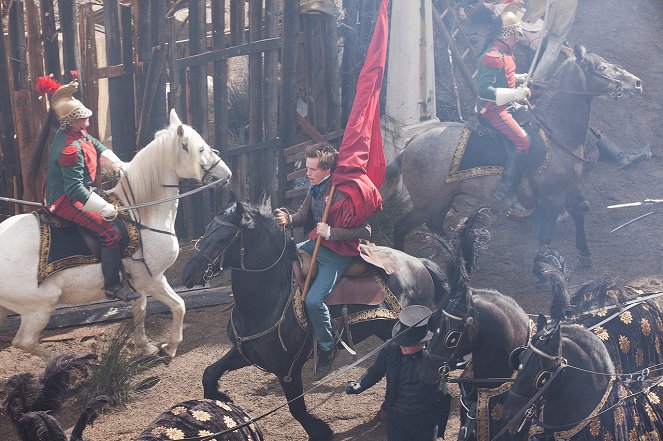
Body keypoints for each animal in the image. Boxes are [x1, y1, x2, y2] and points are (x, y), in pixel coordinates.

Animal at [0, 109, 233, 358]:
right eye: (200, 149)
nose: (226, 174)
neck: (142, 214)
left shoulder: (137, 282)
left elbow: (140, 309)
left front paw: (146, 346)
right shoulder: (152, 278)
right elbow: (179, 305)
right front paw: (170, 347)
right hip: (40, 307)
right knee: (24, 341)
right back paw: (65, 360)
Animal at [182, 199, 452, 436]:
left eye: (224, 238)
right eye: (206, 230)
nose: (188, 274)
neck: (269, 301)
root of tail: (420, 263)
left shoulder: (287, 369)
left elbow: (297, 410)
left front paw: (322, 431)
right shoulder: (244, 351)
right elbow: (209, 373)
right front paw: (222, 399)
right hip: (387, 331)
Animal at [384, 45, 644, 264]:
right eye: (601, 68)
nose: (637, 83)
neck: (558, 134)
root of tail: (411, 143)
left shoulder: (567, 191)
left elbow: (579, 216)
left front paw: (584, 253)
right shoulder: (552, 199)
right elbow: (546, 237)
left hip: (444, 197)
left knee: (435, 224)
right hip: (427, 202)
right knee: (402, 225)